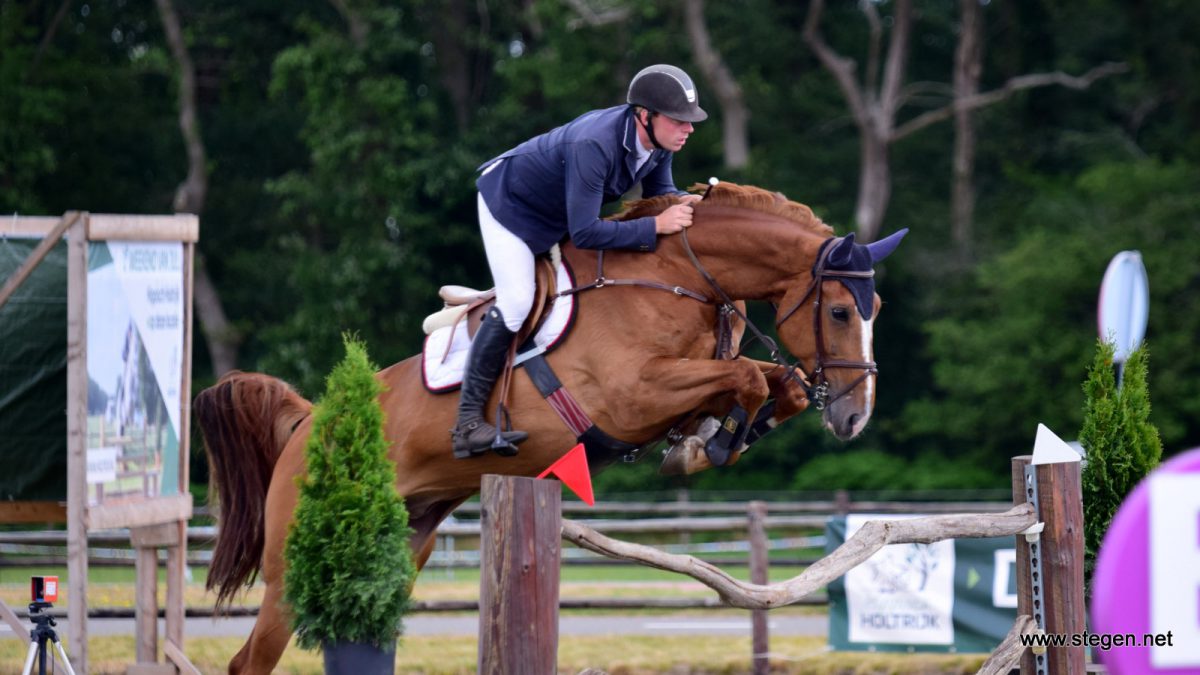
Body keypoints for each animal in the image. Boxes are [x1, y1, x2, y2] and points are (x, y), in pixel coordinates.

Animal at [192, 178, 902, 667]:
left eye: (874, 310)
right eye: (840, 311)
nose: (854, 417)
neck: (675, 276)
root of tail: (311, 421)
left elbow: (774, 384)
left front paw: (708, 441)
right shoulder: (632, 395)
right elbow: (751, 379)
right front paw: (713, 444)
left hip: (405, 540)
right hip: (290, 569)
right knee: (249, 661)